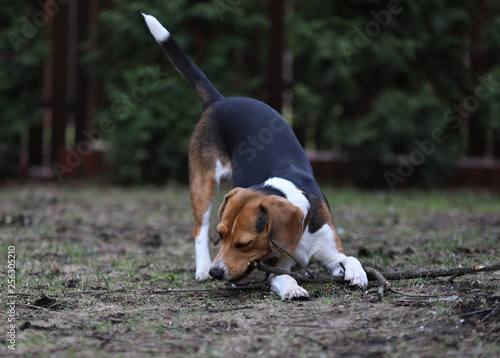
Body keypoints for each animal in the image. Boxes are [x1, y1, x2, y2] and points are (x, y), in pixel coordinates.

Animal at [143, 14, 370, 300]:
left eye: (244, 243)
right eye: (221, 235)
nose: (217, 273)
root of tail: (219, 100)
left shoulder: (330, 251)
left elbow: (351, 258)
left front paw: (357, 273)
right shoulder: (275, 266)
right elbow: (283, 277)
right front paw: (293, 288)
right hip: (202, 184)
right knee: (198, 230)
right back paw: (202, 268)